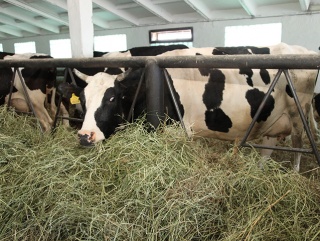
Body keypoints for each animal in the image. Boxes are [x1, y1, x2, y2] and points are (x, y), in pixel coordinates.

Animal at [59, 43, 318, 171]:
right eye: (83, 99)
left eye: (112, 99)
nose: (85, 135)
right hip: (270, 120)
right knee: (268, 149)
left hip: (299, 114)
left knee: (299, 145)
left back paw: (294, 174)